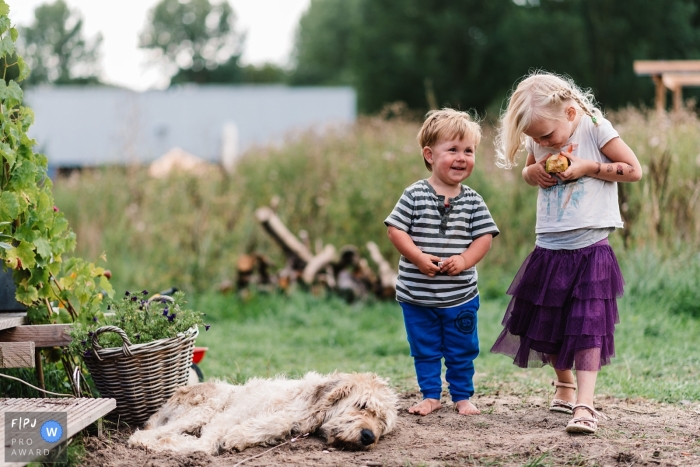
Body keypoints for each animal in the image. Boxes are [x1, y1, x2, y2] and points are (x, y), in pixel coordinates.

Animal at [128, 372, 396, 456]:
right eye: (362, 405)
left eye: (382, 423)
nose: (368, 437)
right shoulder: (232, 412)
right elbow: (207, 443)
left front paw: (239, 438)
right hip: (207, 406)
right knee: (139, 436)